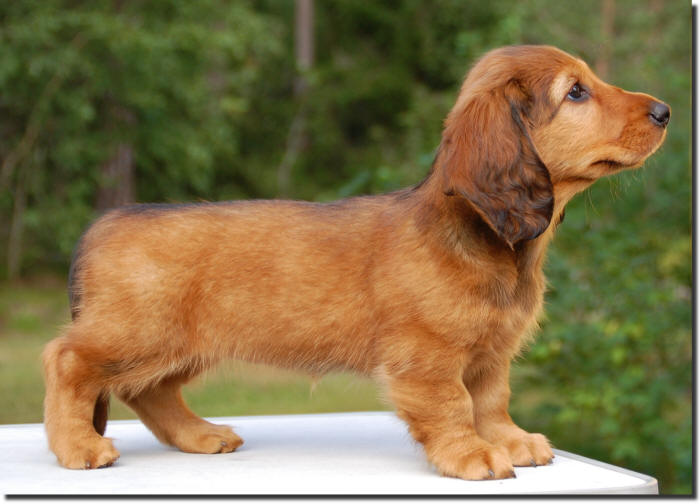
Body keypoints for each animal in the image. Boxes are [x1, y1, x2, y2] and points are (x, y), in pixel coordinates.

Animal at [43, 45, 669, 479]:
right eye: (576, 92)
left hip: (179, 345)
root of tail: (102, 226)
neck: (483, 237)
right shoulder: (427, 359)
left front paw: (509, 440)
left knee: (150, 392)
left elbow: (491, 400)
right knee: (66, 360)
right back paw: (77, 446)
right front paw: (473, 455)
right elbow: (453, 406)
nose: (664, 110)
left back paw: (198, 435)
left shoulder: (491, 353)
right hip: (136, 333)